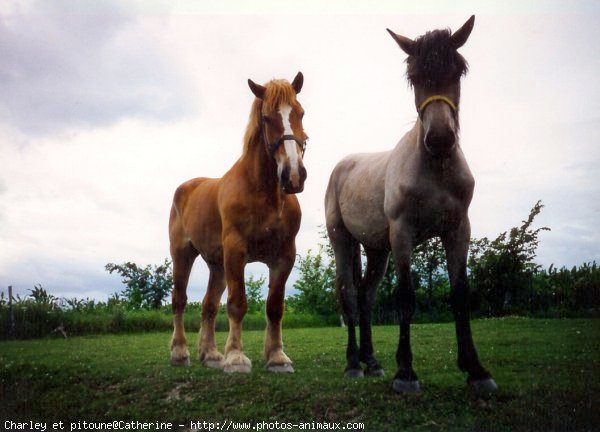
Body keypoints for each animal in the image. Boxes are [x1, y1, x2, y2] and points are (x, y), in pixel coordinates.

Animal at [171, 72, 308, 372]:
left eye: (301, 112)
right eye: (267, 118)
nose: (294, 175)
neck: (264, 193)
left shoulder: (284, 256)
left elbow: (274, 307)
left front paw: (277, 357)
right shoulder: (236, 251)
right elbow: (237, 304)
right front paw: (235, 357)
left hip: (217, 266)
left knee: (208, 306)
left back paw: (210, 354)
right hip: (183, 255)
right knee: (179, 301)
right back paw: (180, 353)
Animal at [324, 15, 496, 394]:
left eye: (457, 71)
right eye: (414, 77)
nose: (440, 139)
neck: (435, 170)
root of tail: (342, 166)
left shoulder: (458, 231)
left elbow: (460, 295)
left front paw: (476, 370)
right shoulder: (402, 235)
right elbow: (405, 297)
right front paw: (405, 373)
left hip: (376, 250)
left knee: (367, 297)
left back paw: (372, 362)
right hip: (343, 240)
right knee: (349, 296)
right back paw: (353, 364)